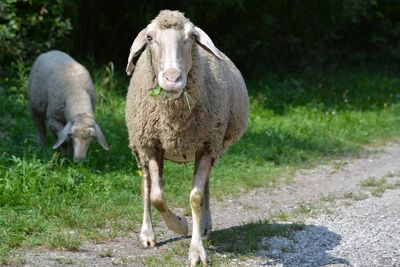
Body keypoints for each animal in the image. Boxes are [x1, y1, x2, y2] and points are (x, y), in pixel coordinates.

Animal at [126, 9, 250, 266]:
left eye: (192, 36)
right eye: (150, 38)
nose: (173, 79)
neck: (175, 121)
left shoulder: (207, 144)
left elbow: (196, 196)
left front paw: (196, 249)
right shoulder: (152, 145)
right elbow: (156, 196)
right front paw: (180, 225)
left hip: (211, 148)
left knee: (206, 183)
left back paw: (204, 225)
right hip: (140, 146)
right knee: (147, 186)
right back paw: (148, 234)